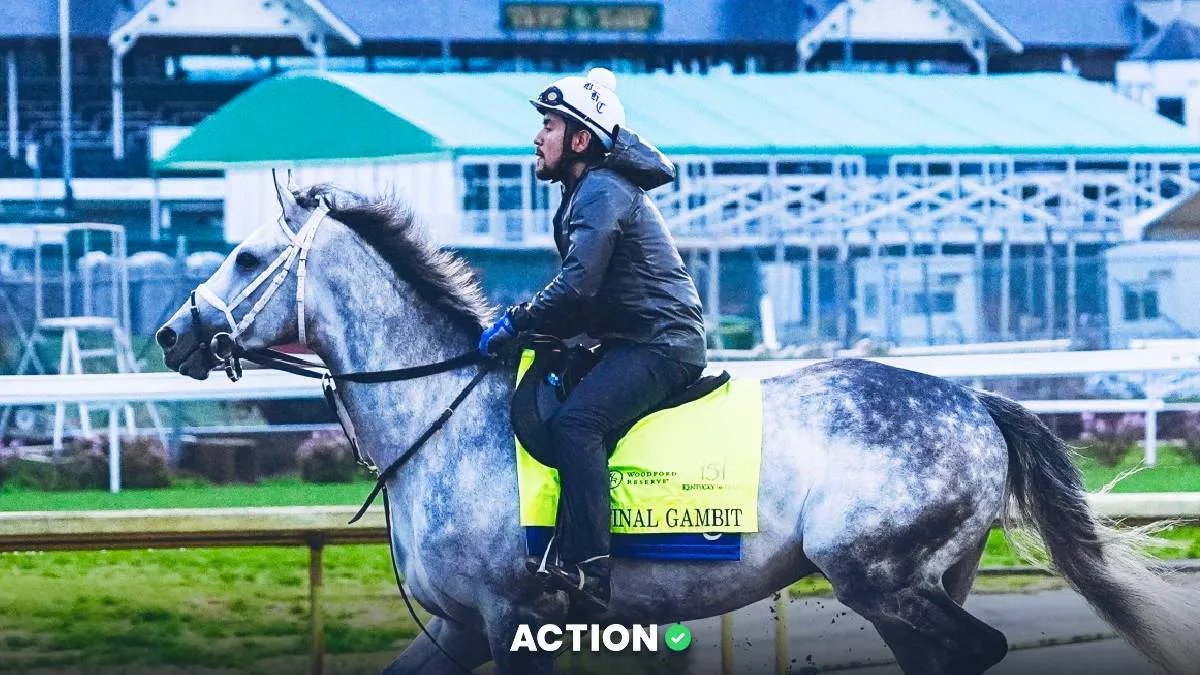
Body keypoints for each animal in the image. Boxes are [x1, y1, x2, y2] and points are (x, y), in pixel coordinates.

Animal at [156, 177, 1199, 675]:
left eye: (243, 254)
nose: (173, 332)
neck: (442, 417)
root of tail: (977, 401)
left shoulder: (515, 618)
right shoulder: (456, 628)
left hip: (880, 572)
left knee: (972, 650)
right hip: (918, 580)